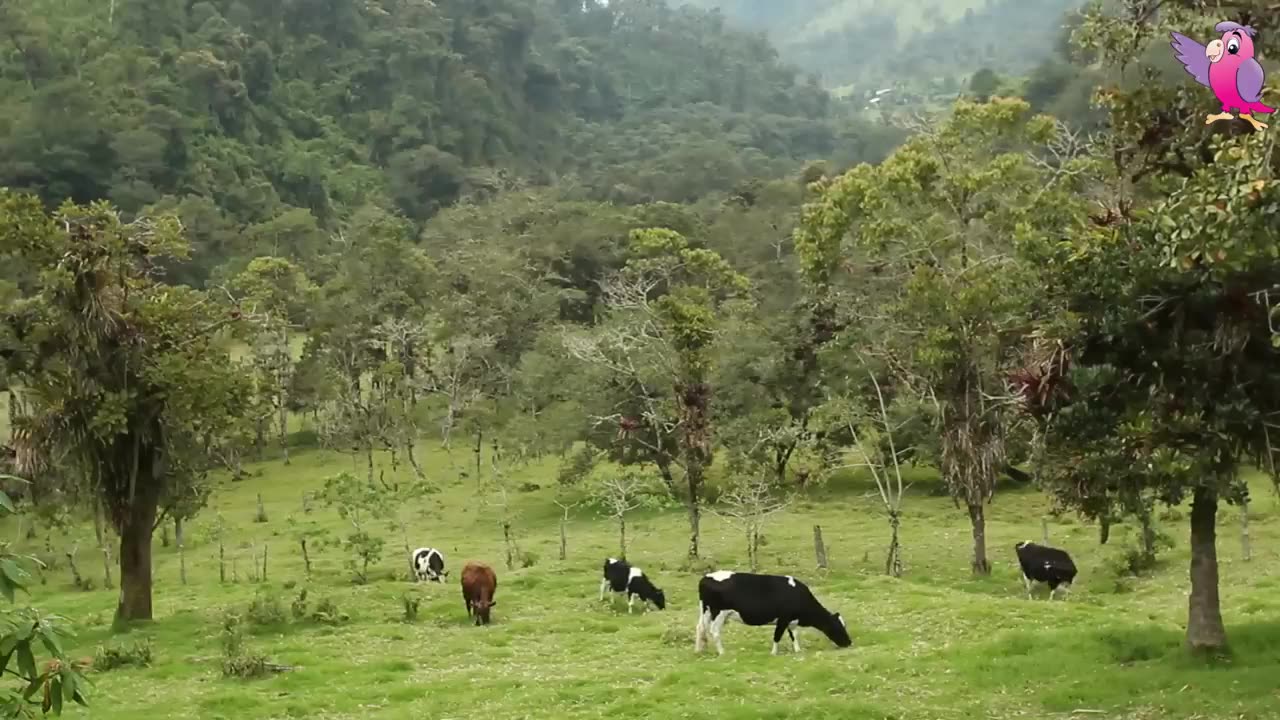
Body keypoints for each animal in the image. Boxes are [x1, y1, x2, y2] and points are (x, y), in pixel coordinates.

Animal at [701, 568, 849, 653]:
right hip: (719, 612)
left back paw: (700, 650)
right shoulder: (783, 619)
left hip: (706, 610)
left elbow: (794, 635)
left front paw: (798, 650)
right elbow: (777, 636)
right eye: (838, 627)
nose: (849, 642)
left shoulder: (791, 620)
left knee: (700, 628)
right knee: (714, 631)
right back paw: (722, 652)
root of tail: (706, 577)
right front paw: (774, 653)